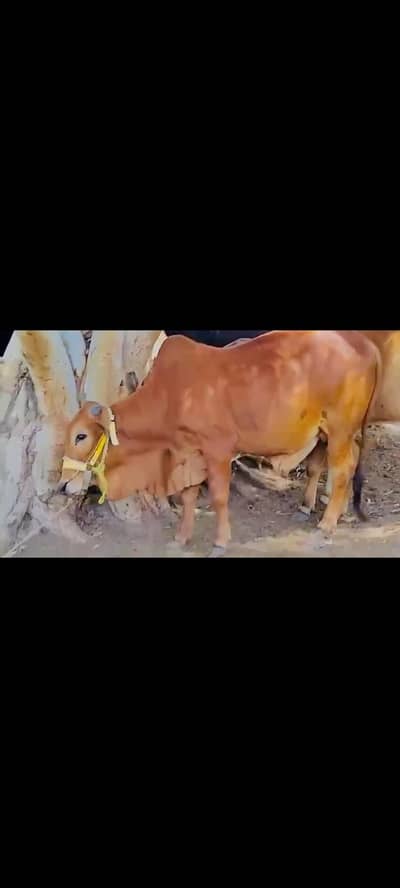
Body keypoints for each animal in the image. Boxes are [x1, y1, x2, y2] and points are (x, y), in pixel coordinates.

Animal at [59, 330, 381, 555]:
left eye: (81, 435)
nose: (62, 485)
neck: (171, 393)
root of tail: (364, 345)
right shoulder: (188, 454)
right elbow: (188, 495)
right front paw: (181, 537)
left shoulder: (218, 450)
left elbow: (219, 497)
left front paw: (220, 543)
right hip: (332, 431)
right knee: (339, 464)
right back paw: (321, 510)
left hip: (340, 428)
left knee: (343, 470)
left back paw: (326, 525)